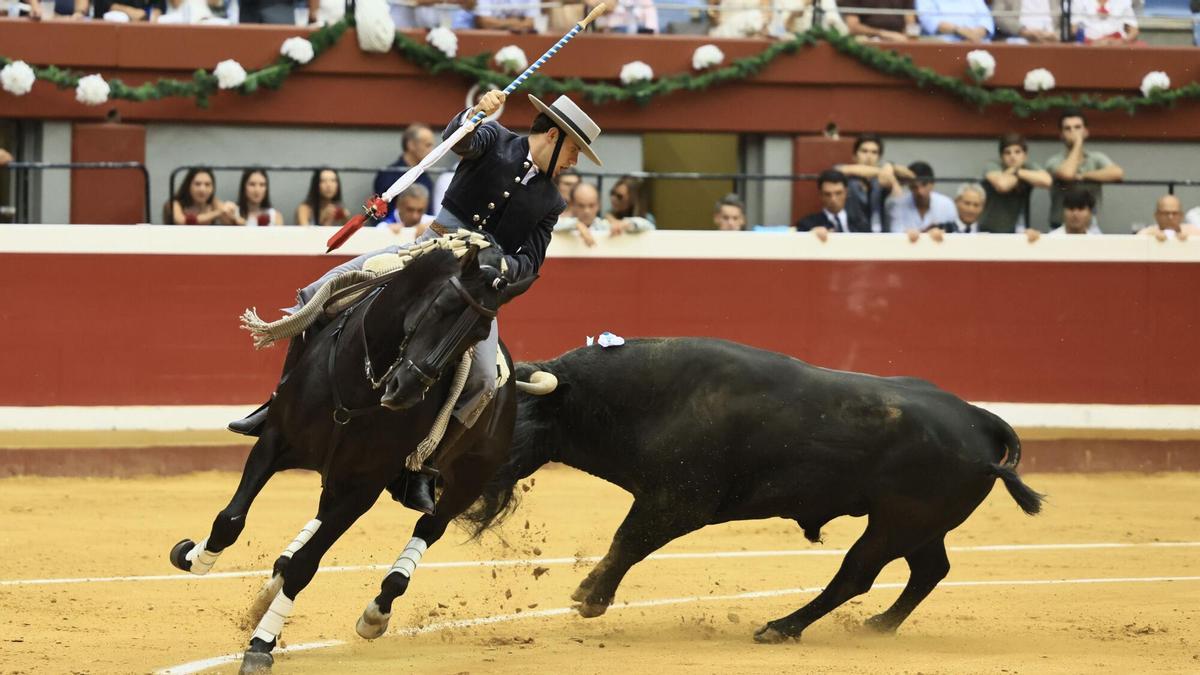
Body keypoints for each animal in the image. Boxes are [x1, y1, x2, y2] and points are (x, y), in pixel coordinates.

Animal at [168, 238, 534, 673]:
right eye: (442, 305)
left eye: (478, 332)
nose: (406, 389)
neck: (363, 383)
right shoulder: (274, 441)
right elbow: (230, 520)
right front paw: (193, 557)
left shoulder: (365, 487)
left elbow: (307, 564)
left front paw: (261, 644)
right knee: (317, 519)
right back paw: (267, 591)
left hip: (467, 481)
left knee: (429, 528)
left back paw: (376, 611)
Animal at [462, 337, 1044, 643]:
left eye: (511, 419)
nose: (451, 477)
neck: (647, 399)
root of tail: (979, 419)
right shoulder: (665, 501)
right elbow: (627, 543)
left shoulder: (678, 502)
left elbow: (627, 542)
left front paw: (589, 598)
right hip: (919, 526)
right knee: (928, 570)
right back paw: (879, 625)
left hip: (896, 524)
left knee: (856, 573)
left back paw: (784, 627)